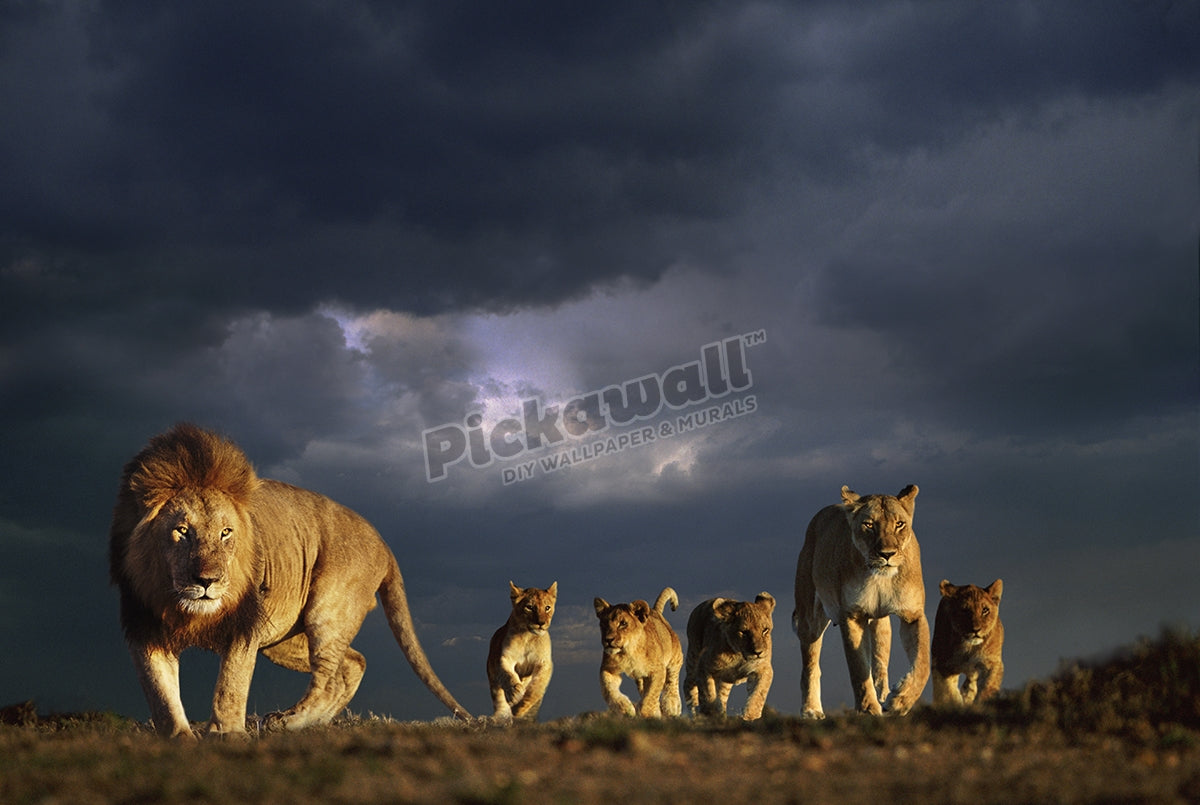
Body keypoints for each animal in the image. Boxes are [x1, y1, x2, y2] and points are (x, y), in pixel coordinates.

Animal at [108, 423, 471, 739]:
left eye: (226, 532)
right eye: (182, 530)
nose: (207, 580)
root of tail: (384, 543)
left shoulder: (244, 627)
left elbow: (231, 685)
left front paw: (226, 734)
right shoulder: (144, 623)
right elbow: (161, 693)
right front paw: (180, 739)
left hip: (328, 611)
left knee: (327, 676)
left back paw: (289, 721)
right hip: (281, 639)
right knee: (353, 663)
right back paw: (313, 722)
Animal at [486, 581, 557, 723]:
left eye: (547, 607)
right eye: (529, 607)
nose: (541, 623)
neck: (527, 636)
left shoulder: (544, 663)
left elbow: (537, 687)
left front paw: (520, 708)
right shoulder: (505, 658)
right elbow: (507, 674)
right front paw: (514, 694)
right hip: (492, 677)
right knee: (499, 700)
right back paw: (499, 717)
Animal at [593, 588, 683, 718]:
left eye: (623, 623)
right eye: (604, 624)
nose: (608, 640)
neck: (628, 652)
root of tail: (655, 611)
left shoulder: (658, 670)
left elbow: (651, 694)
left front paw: (648, 713)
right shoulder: (608, 669)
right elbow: (608, 689)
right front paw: (625, 709)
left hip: (675, 659)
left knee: (672, 680)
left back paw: (672, 706)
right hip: (640, 678)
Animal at [683, 592, 775, 720]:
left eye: (765, 630)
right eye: (744, 632)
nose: (758, 652)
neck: (739, 655)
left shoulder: (762, 668)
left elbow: (758, 693)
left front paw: (750, 716)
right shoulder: (703, 666)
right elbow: (707, 694)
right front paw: (710, 716)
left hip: (725, 681)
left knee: (722, 696)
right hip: (693, 657)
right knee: (688, 685)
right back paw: (695, 714)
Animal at [792, 485, 930, 717]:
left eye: (899, 524)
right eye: (869, 525)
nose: (887, 554)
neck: (880, 578)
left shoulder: (912, 614)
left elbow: (922, 663)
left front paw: (900, 701)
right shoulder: (852, 615)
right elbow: (857, 667)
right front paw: (868, 709)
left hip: (879, 624)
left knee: (879, 661)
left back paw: (883, 694)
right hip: (810, 618)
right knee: (810, 667)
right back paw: (811, 709)